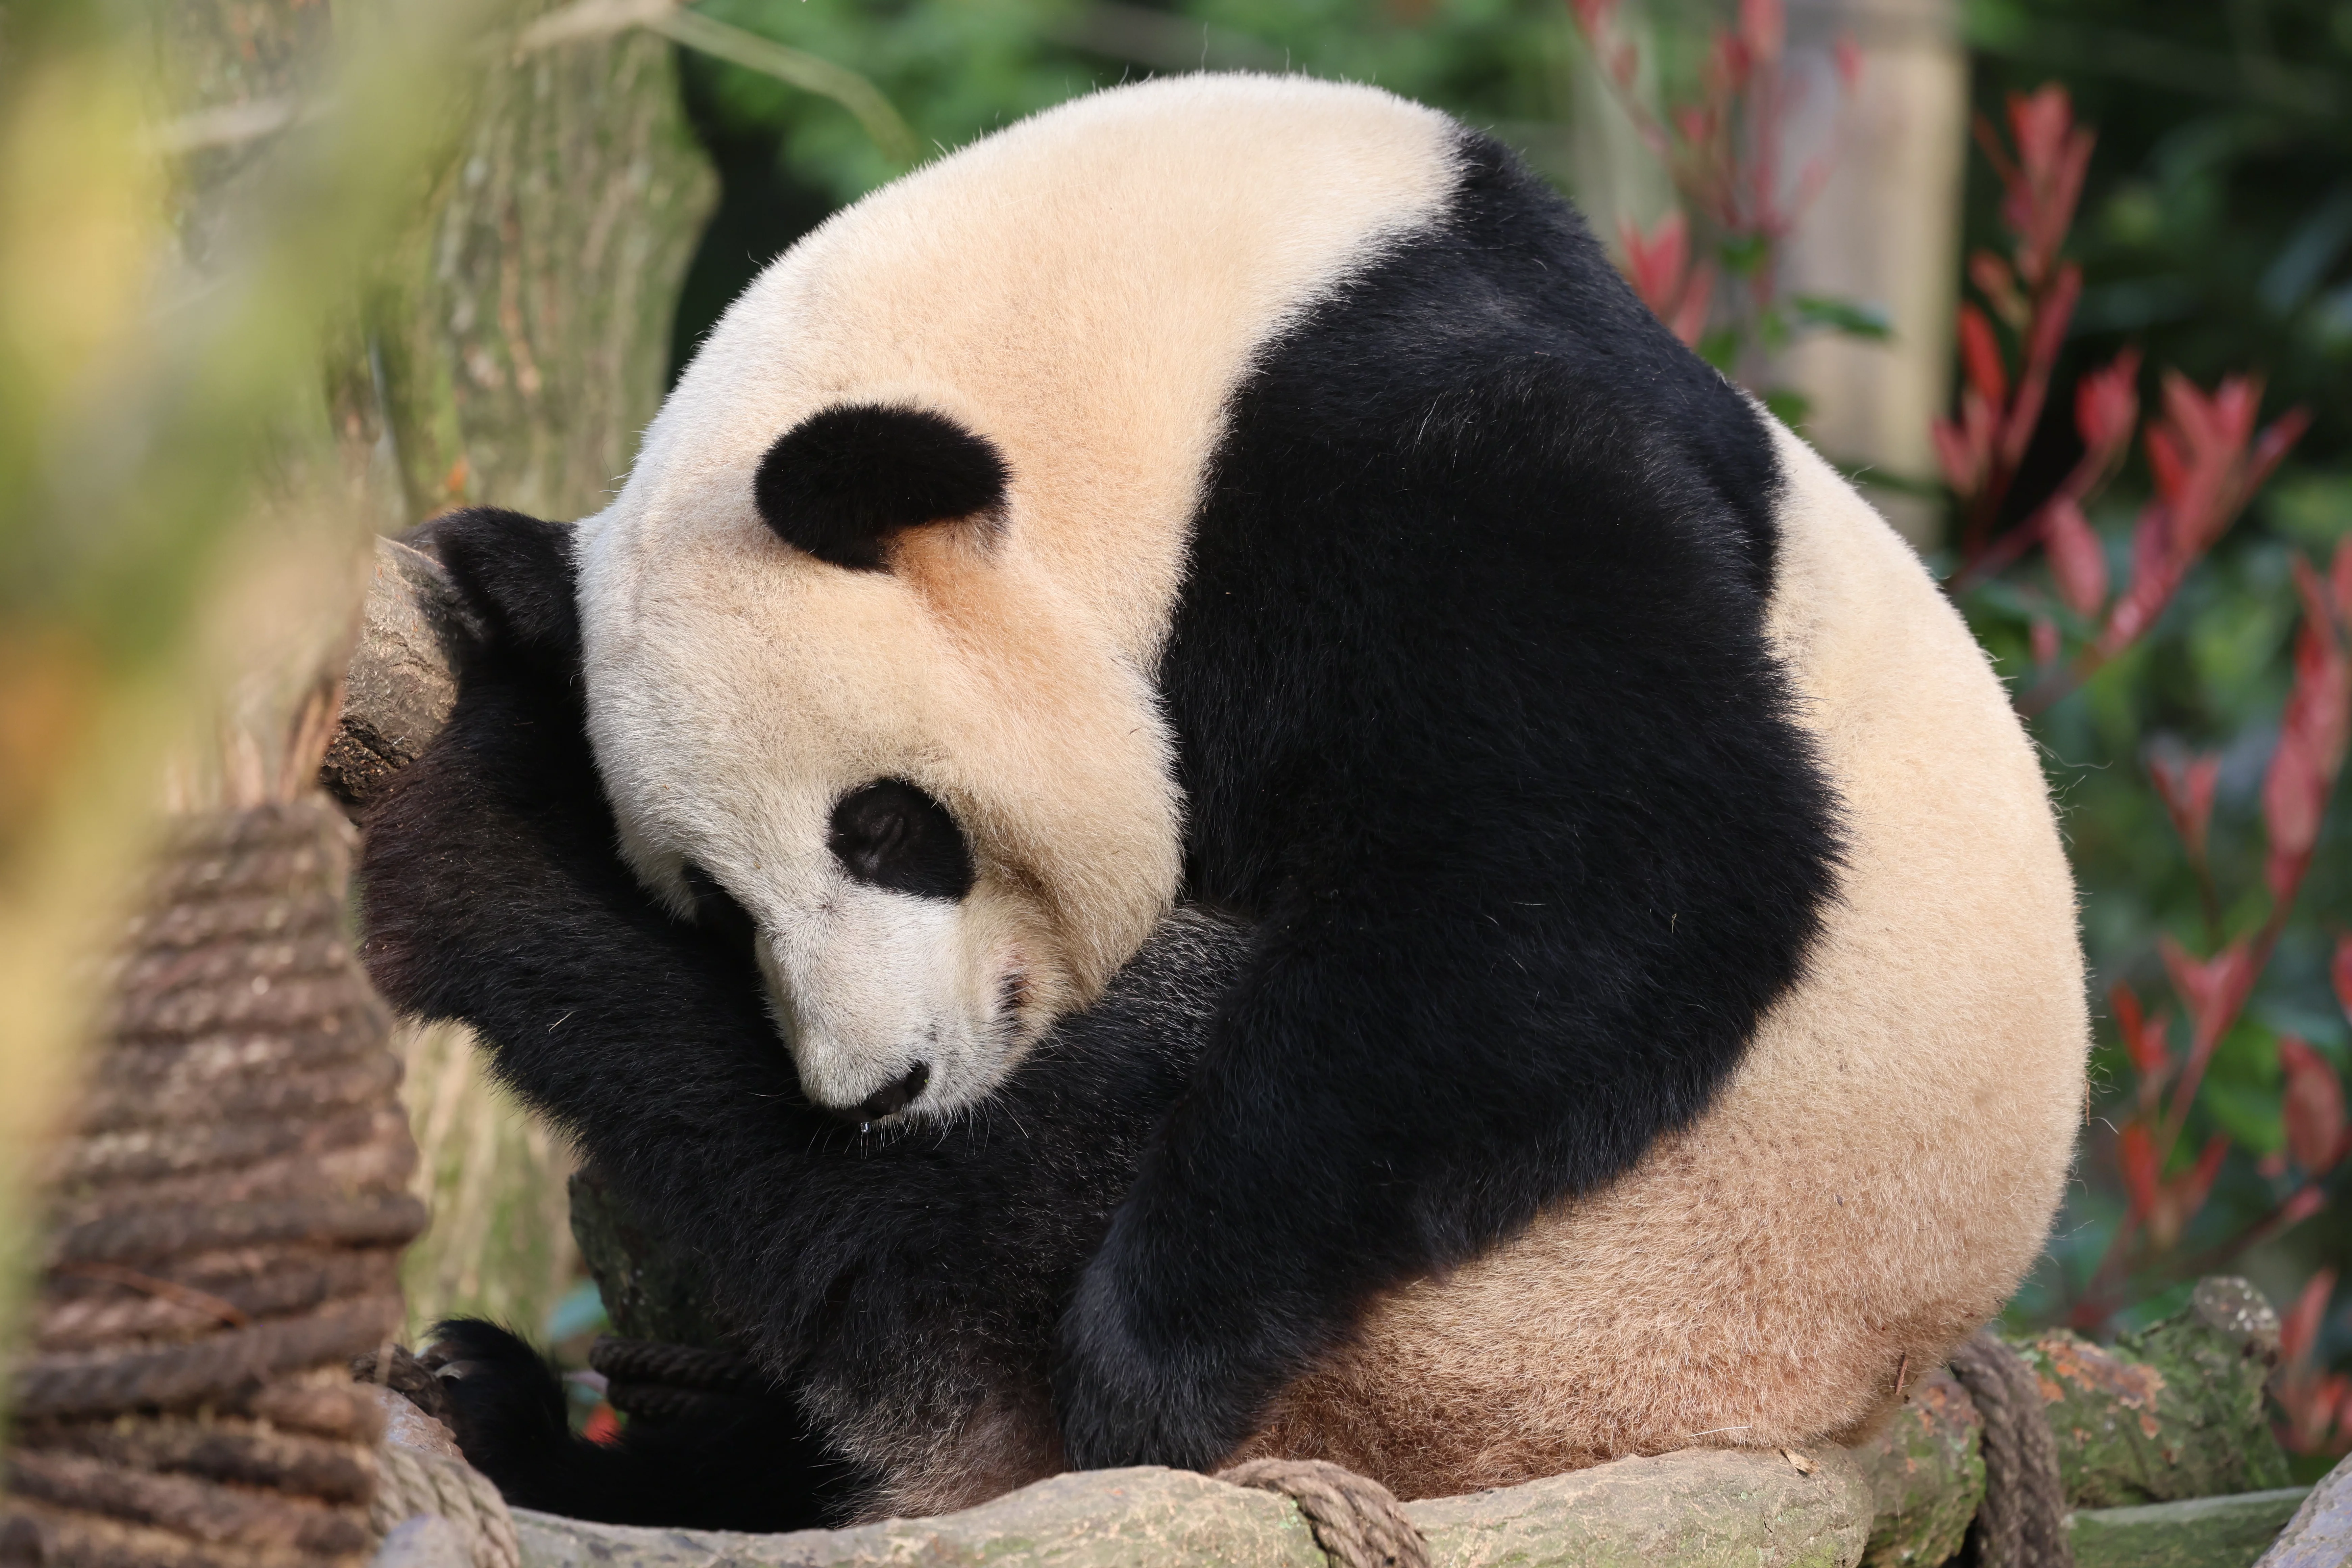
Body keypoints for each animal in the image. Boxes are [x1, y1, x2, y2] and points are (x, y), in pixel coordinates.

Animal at [356, 71, 2088, 1531]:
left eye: (886, 826)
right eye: (718, 902)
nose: (873, 1087)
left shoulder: (1393, 458)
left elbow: (1612, 862)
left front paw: (1147, 1358)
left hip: (1551, 1309)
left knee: (1006, 1181)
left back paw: (474, 847)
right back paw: (515, 1409)